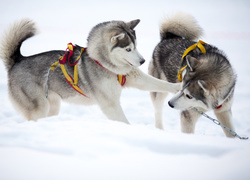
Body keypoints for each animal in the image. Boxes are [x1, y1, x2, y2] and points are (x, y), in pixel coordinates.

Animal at [0, 18, 180, 122]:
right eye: (128, 49)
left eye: (136, 46)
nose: (142, 61)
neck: (105, 64)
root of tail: (17, 61)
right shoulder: (110, 104)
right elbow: (123, 120)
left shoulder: (133, 77)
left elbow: (159, 83)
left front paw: (178, 86)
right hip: (39, 107)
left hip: (53, 105)